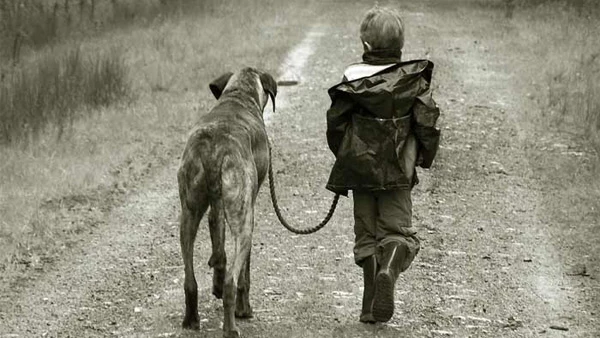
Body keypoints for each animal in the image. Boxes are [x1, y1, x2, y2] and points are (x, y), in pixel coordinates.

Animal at [177, 66, 278, 338]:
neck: (238, 96)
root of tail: (214, 147)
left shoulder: (217, 207)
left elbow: (218, 245)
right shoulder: (247, 209)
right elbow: (245, 275)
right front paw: (245, 309)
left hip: (188, 212)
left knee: (190, 281)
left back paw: (192, 319)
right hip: (244, 223)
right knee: (233, 281)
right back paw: (232, 325)